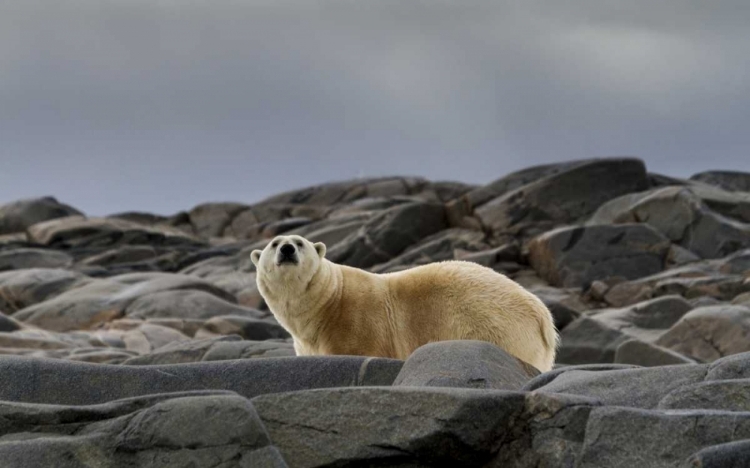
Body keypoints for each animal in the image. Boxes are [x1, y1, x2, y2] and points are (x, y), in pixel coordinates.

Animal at [251, 236, 560, 372]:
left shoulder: (358, 325)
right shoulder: (308, 343)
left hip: (496, 325)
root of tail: (542, 314)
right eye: (274, 243)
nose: (287, 249)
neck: (329, 303)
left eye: (300, 242)